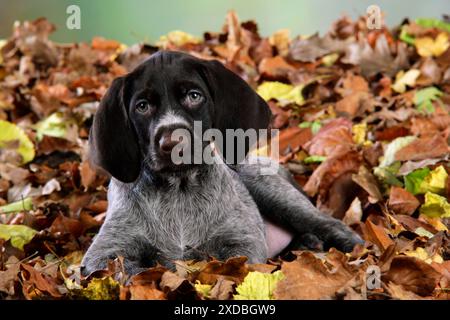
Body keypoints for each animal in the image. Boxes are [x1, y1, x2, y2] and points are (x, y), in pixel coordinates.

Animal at [81, 51, 362, 276]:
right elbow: (129, 272)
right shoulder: (103, 255)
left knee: (328, 223)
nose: (172, 143)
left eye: (194, 96)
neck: (178, 190)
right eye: (142, 106)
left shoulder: (243, 242)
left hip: (273, 192)